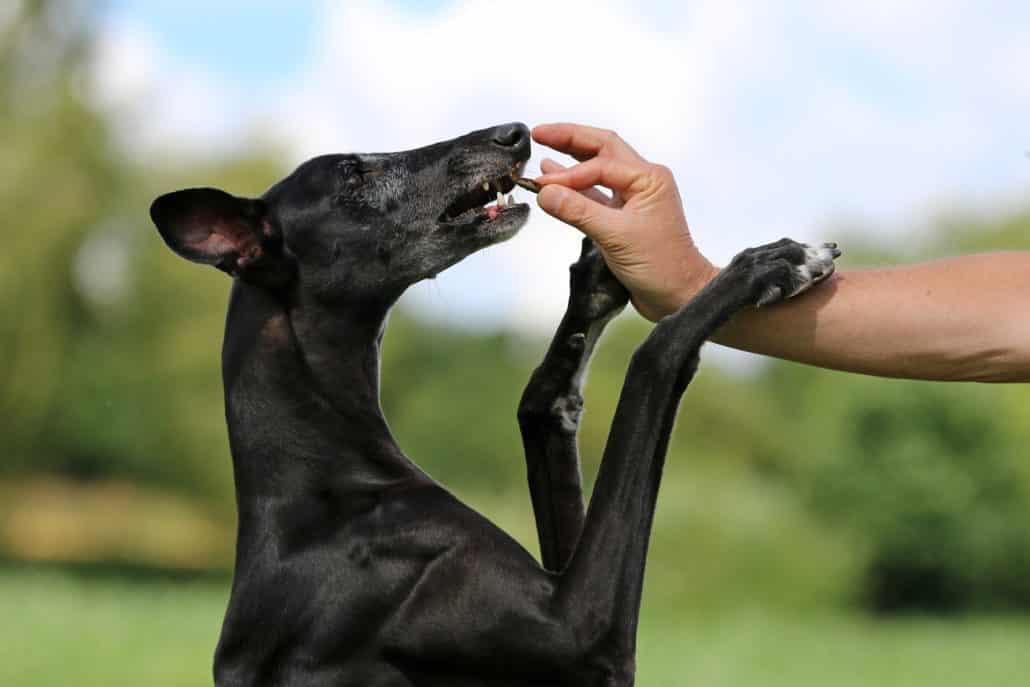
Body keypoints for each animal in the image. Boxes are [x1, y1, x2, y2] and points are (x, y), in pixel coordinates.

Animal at [149, 125, 836, 687]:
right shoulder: (580, 632)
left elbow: (540, 403)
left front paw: (598, 280)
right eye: (353, 175)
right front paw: (770, 264)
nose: (514, 132)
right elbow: (656, 357)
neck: (325, 477)